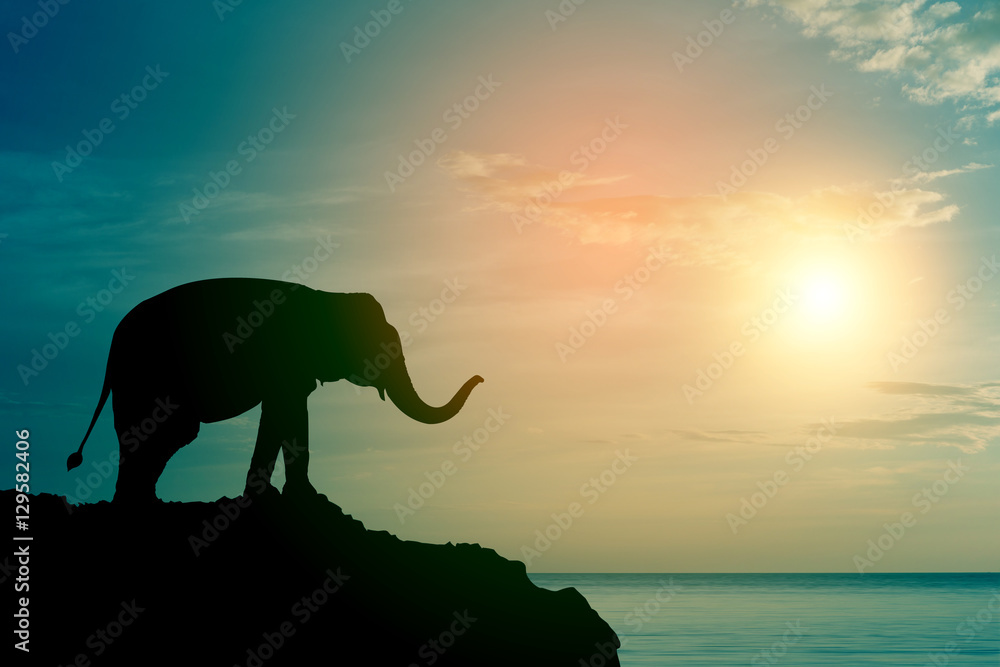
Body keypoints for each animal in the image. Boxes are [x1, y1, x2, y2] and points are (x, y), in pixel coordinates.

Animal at [67, 278, 484, 503]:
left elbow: (285, 413)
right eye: (384, 349)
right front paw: (297, 498)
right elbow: (286, 411)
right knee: (166, 432)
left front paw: (282, 497)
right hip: (146, 377)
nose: (481, 378)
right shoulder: (285, 365)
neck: (327, 295)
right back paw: (137, 502)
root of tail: (112, 348)